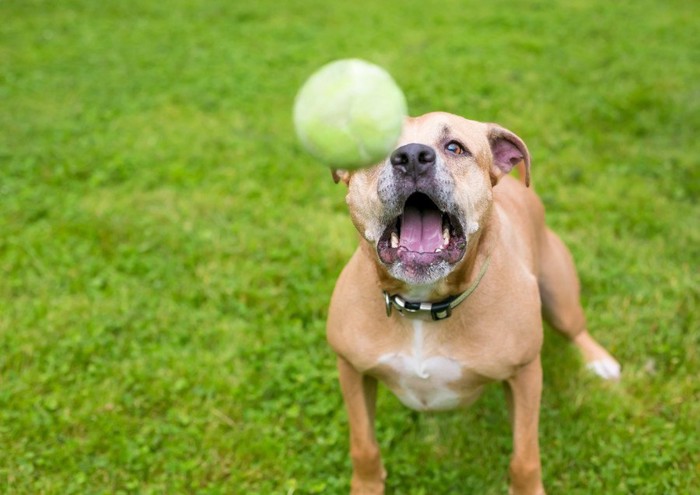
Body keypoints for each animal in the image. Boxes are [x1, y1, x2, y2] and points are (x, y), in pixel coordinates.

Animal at [326, 112, 620, 495]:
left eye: (455, 148)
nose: (412, 157)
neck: (422, 307)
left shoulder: (525, 375)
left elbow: (525, 456)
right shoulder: (351, 369)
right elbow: (363, 446)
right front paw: (367, 486)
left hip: (560, 297)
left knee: (576, 329)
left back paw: (600, 362)